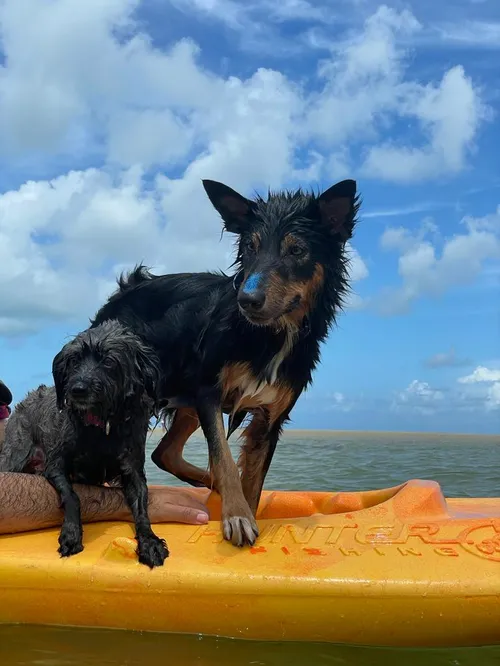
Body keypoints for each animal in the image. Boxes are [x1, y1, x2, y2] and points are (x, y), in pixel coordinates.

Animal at [0, 320, 169, 568]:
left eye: (108, 361)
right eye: (74, 360)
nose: (77, 389)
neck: (101, 427)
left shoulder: (133, 471)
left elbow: (141, 508)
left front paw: (149, 541)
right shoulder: (56, 466)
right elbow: (73, 496)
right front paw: (71, 533)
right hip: (15, 456)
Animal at [93, 176, 360, 544]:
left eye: (296, 250)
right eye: (250, 247)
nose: (247, 299)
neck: (271, 335)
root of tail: (122, 292)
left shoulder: (271, 416)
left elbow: (252, 479)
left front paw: (244, 507)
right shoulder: (209, 391)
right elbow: (223, 456)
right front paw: (237, 515)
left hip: (185, 398)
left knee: (164, 452)